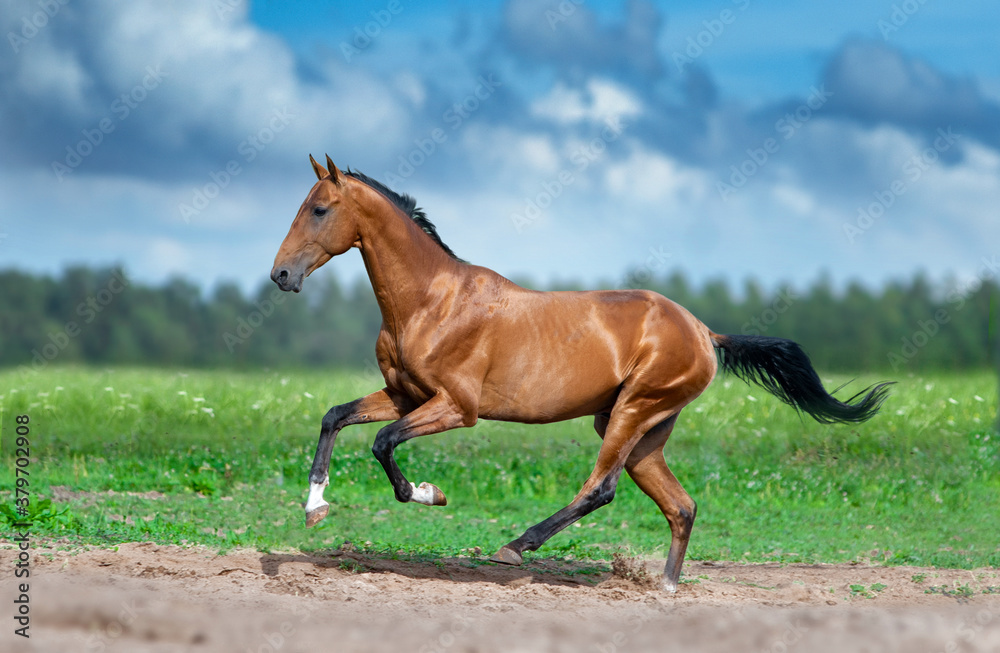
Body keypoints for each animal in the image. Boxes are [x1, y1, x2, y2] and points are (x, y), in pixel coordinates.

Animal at [268, 155, 892, 592]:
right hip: (643, 429)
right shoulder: (402, 394)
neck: (431, 301)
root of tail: (706, 334)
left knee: (602, 488)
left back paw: (517, 546)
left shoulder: (456, 408)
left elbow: (382, 443)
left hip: (634, 411)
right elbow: (335, 418)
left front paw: (428, 494)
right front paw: (315, 508)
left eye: (319, 209)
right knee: (680, 505)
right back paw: (664, 586)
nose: (281, 275)